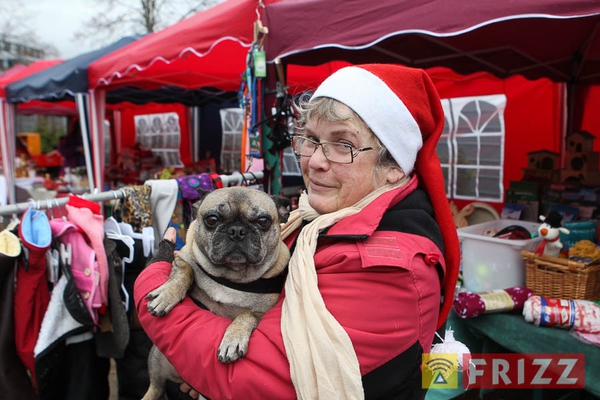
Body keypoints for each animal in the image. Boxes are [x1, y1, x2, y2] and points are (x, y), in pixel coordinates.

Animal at [141, 188, 290, 400]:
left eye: (263, 221)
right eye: (212, 219)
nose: (237, 230)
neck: (231, 275)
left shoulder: (263, 313)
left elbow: (247, 314)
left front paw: (233, 339)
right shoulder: (182, 258)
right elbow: (186, 270)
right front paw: (167, 295)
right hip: (156, 358)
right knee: (155, 387)